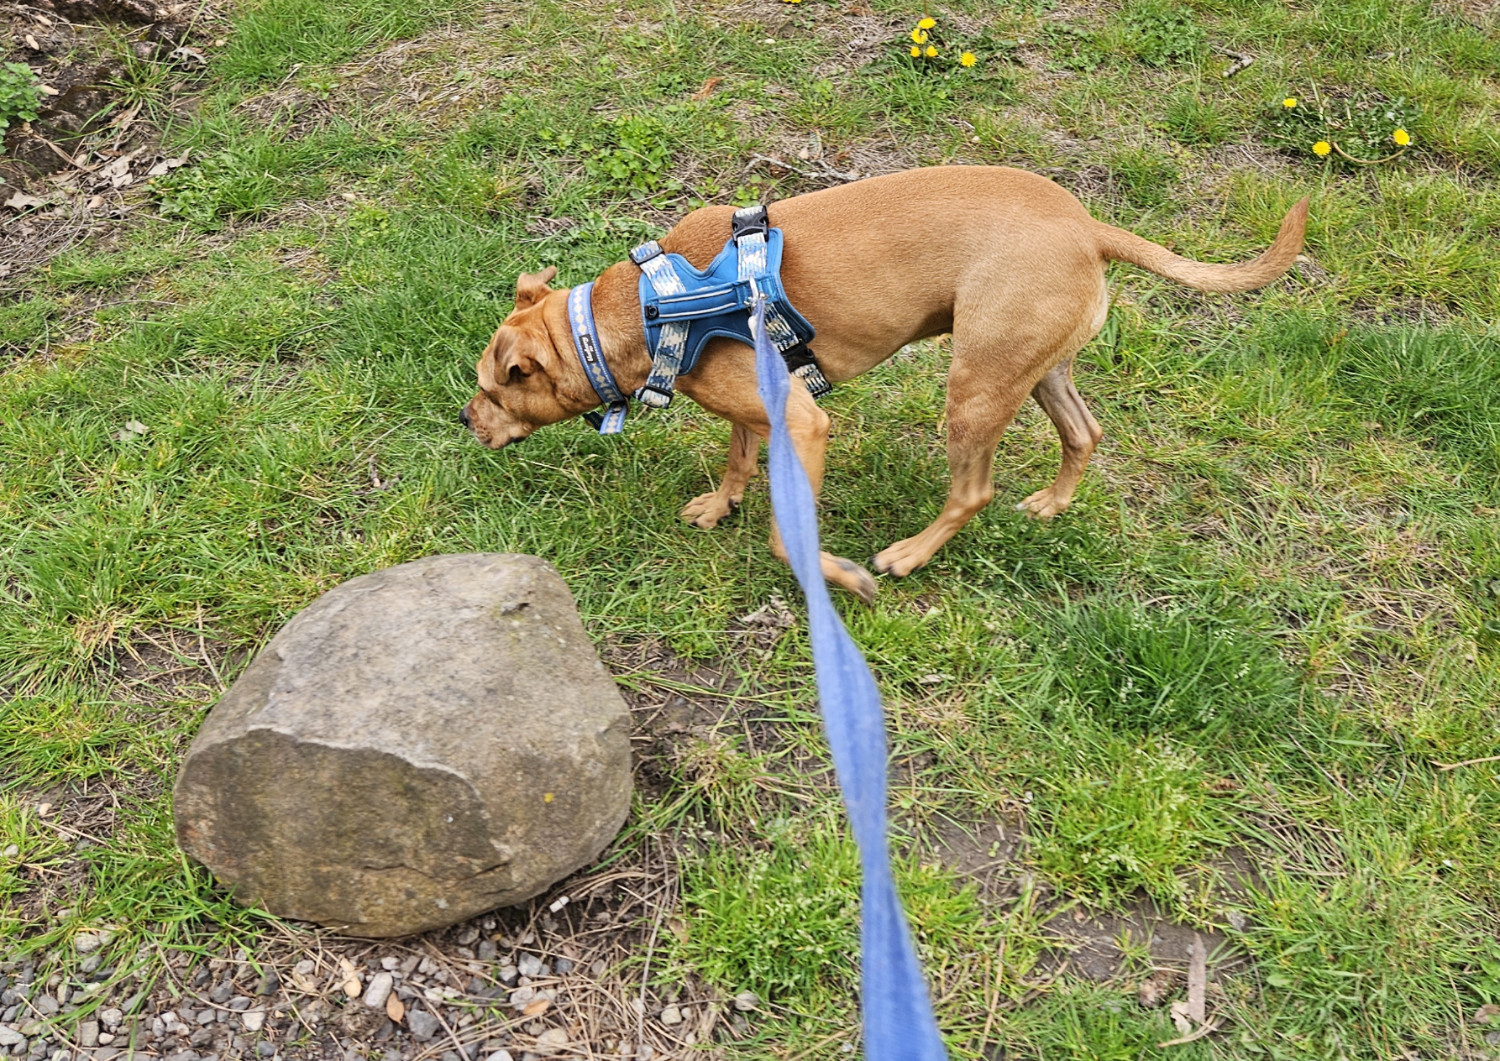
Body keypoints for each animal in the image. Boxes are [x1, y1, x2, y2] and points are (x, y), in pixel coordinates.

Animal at [462, 162, 1308, 603]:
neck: (643, 307)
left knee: (973, 490)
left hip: (974, 390)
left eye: (497, 386)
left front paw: (832, 575)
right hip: (1036, 371)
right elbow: (736, 459)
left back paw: (907, 556)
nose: (467, 420)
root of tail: (1088, 226)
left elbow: (786, 536)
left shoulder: (802, 426)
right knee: (1084, 431)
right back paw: (1053, 503)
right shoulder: (755, 412)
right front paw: (720, 502)